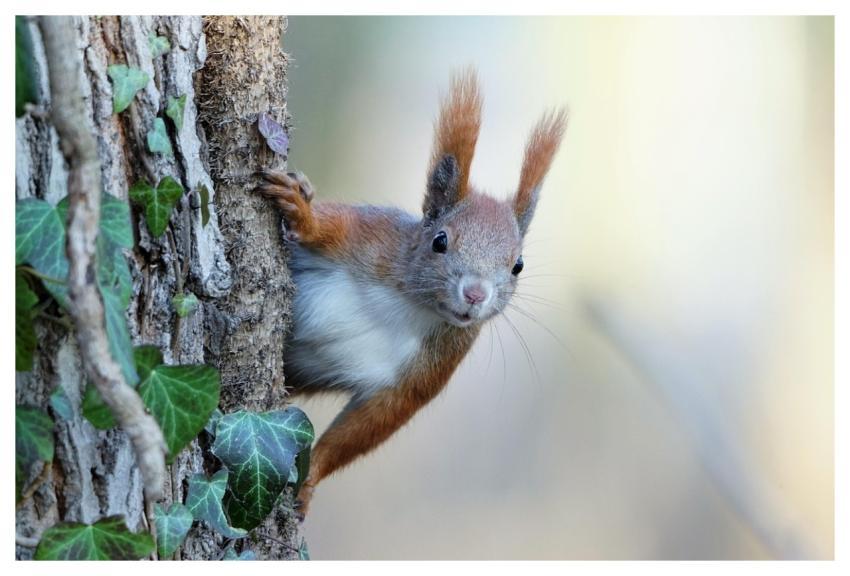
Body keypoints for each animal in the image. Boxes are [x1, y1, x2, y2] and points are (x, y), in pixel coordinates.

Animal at [258, 69, 567, 516]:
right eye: (440, 241)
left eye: (518, 265)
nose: (475, 294)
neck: (409, 304)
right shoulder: (371, 237)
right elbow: (329, 226)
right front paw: (304, 213)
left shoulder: (432, 366)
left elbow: (370, 425)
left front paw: (311, 478)